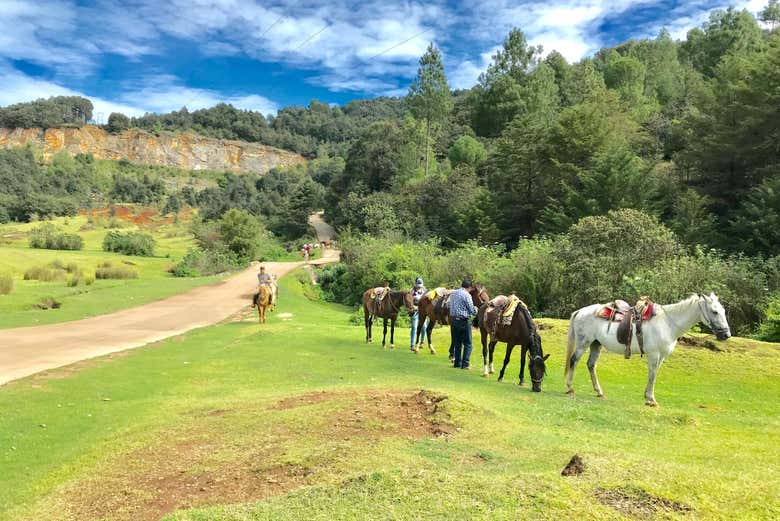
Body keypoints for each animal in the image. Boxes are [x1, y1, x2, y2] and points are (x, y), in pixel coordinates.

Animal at [564, 293, 731, 406]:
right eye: (715, 311)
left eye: (723, 311)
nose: (726, 334)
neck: (667, 323)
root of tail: (580, 311)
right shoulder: (654, 354)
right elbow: (652, 375)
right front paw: (651, 400)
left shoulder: (661, 356)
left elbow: (654, 374)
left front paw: (648, 397)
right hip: (583, 343)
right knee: (574, 361)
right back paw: (570, 388)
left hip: (595, 344)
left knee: (591, 365)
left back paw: (599, 392)